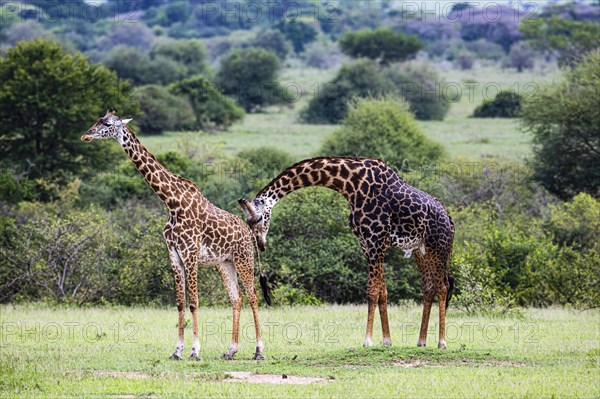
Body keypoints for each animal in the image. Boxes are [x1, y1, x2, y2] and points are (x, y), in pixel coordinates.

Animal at [81, 108, 270, 360]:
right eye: (98, 120)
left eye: (108, 124)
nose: (86, 135)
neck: (171, 203)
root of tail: (249, 232)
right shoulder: (174, 255)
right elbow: (180, 303)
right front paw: (177, 351)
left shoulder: (190, 254)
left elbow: (194, 302)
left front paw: (195, 351)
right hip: (225, 263)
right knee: (236, 298)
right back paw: (231, 351)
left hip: (244, 258)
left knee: (253, 297)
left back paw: (258, 351)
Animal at [239, 157, 454, 350]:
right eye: (248, 222)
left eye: (259, 218)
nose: (261, 244)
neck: (350, 185)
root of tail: (450, 221)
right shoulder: (366, 244)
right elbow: (382, 291)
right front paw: (386, 340)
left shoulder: (375, 241)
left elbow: (372, 291)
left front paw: (367, 341)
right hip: (421, 251)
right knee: (428, 287)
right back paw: (421, 341)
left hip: (439, 247)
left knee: (442, 286)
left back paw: (442, 342)